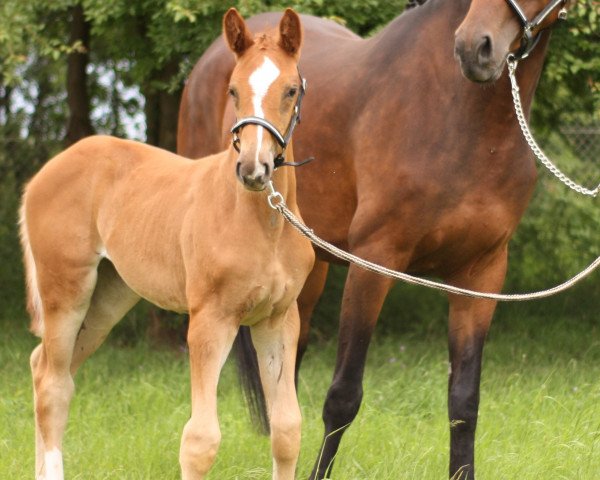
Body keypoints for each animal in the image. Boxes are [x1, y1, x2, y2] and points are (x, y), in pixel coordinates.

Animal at [21, 8, 312, 480]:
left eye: (290, 89)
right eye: (233, 89)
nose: (253, 169)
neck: (263, 222)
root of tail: (44, 174)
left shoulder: (279, 319)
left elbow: (287, 430)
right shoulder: (210, 320)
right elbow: (200, 441)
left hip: (108, 297)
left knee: (45, 368)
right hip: (66, 292)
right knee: (51, 383)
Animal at [177, 1, 572, 478]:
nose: (477, 47)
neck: (457, 115)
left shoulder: (482, 275)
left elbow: (464, 400)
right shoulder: (374, 261)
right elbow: (343, 395)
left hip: (308, 272)